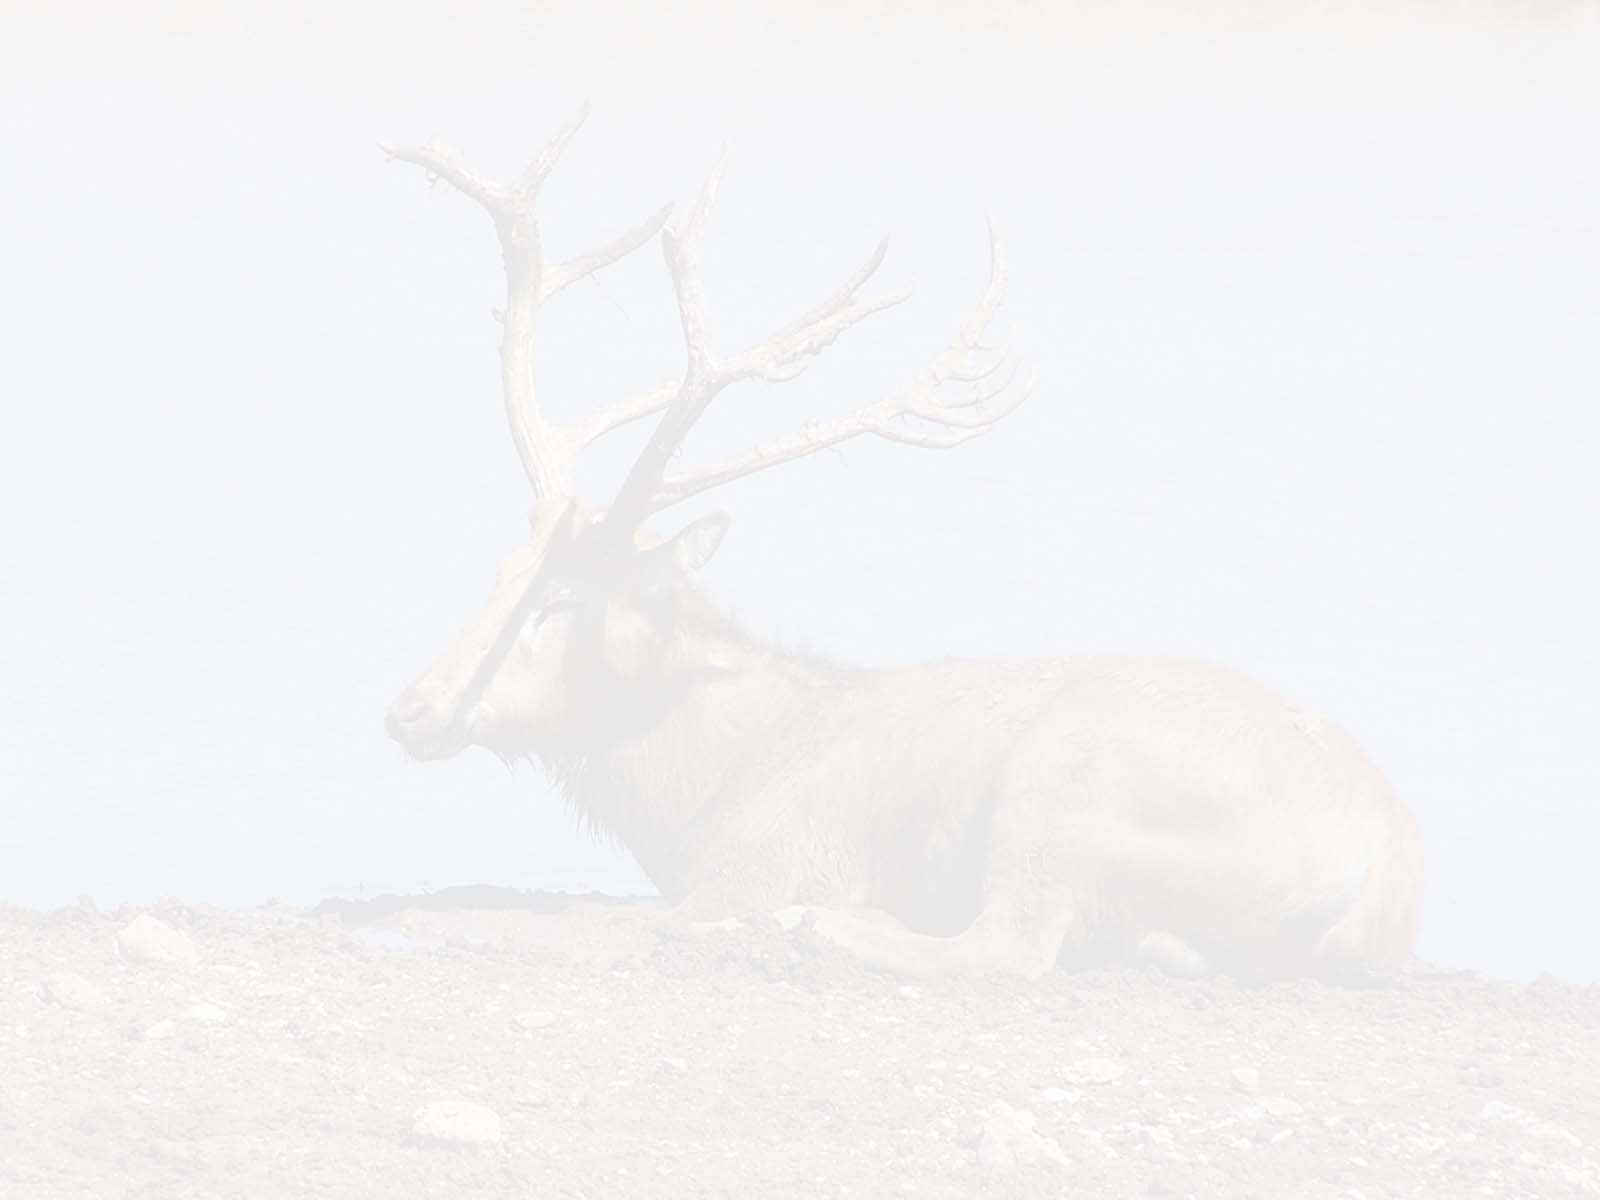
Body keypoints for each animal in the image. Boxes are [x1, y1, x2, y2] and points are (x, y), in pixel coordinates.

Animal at [382, 109, 1424, 983]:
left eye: (562, 601)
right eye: (502, 573)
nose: (411, 707)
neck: (706, 786)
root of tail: (1379, 857)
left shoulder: (767, 855)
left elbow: (599, 919)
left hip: (1067, 781)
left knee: (1009, 947)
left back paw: (823, 929)